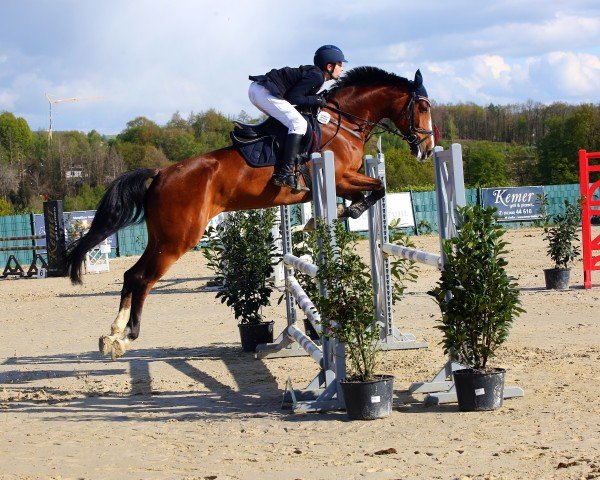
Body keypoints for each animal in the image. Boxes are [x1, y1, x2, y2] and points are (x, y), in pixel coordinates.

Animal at [65, 65, 436, 358]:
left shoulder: (343, 181)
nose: (428, 150)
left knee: (131, 276)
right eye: (422, 106)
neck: (341, 124)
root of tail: (160, 173)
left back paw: (112, 334)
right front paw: (343, 214)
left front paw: (326, 218)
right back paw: (127, 336)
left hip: (161, 236)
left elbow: (373, 191)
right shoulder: (340, 177)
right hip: (178, 239)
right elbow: (378, 188)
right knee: (143, 278)